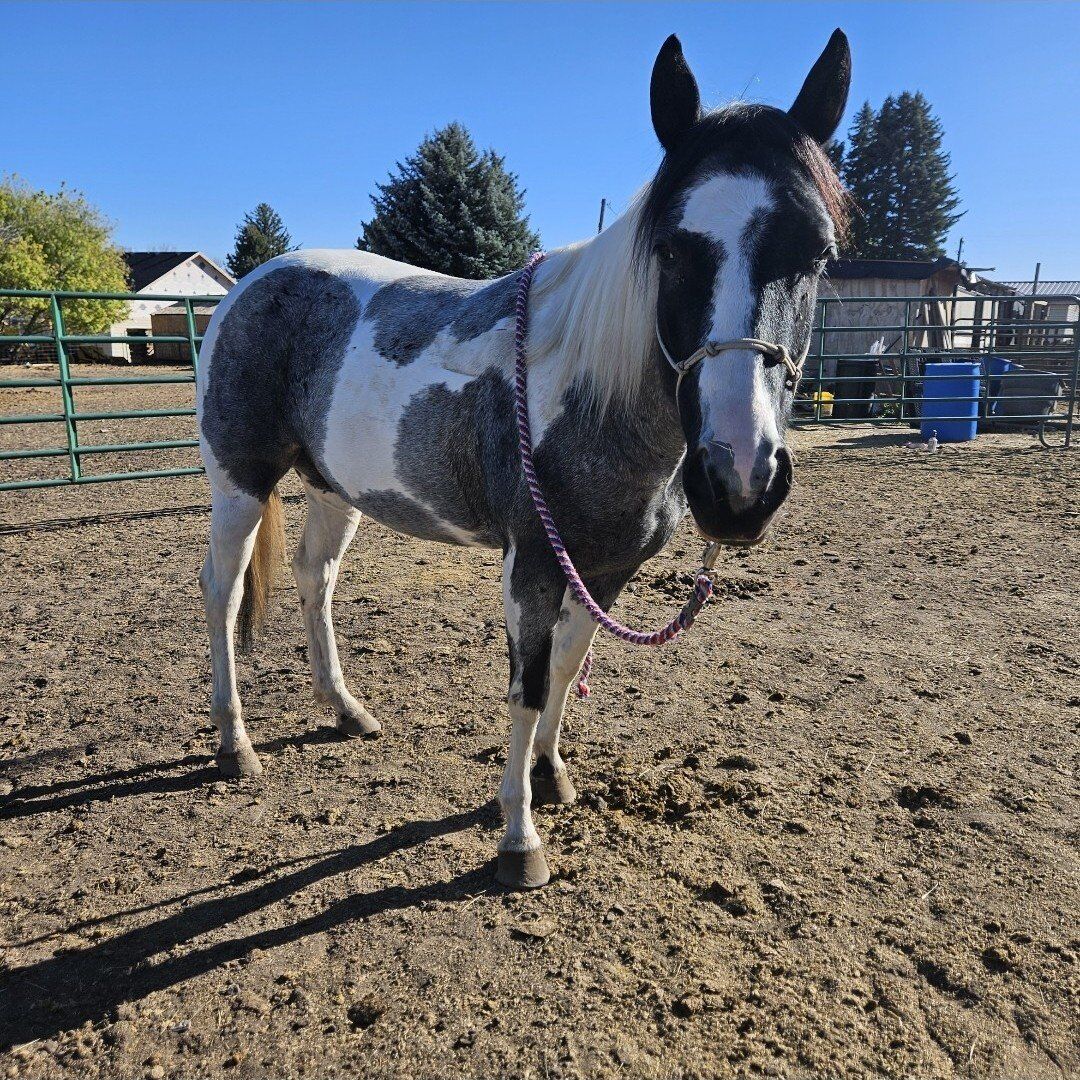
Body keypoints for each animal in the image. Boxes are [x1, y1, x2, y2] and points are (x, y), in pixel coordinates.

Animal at [195, 30, 851, 889]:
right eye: (674, 248)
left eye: (818, 253)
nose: (741, 481)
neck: (591, 397)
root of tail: (251, 285)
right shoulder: (532, 562)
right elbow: (527, 683)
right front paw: (518, 837)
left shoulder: (608, 567)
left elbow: (569, 666)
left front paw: (552, 773)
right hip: (239, 483)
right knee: (223, 589)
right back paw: (234, 743)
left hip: (336, 489)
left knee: (316, 580)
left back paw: (346, 711)